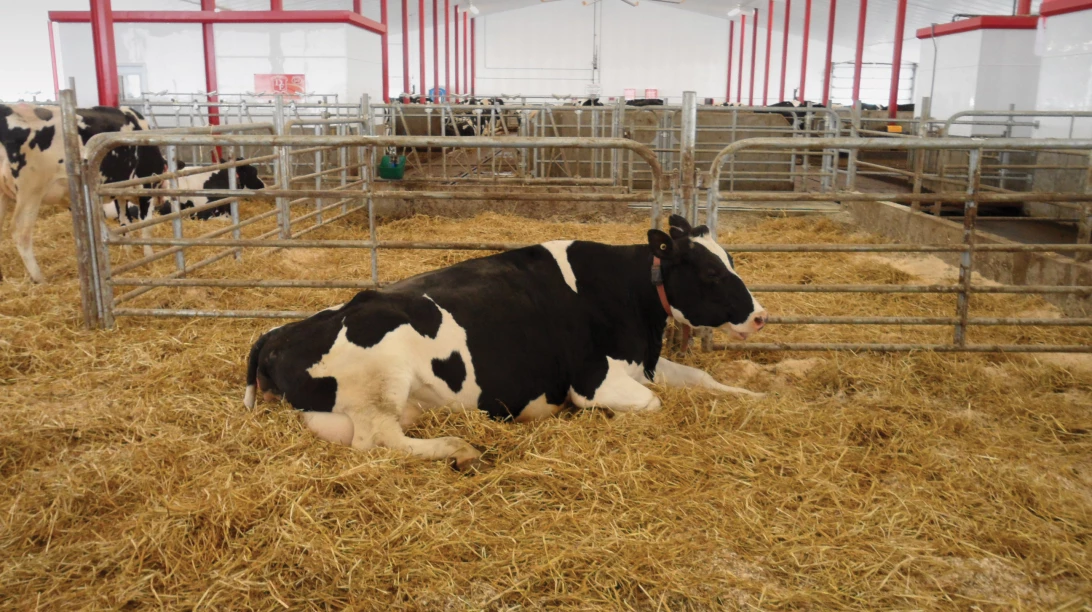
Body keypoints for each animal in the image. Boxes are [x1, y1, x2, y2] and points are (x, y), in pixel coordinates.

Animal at [0, 104, 166, 282]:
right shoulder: (146, 183)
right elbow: (146, 225)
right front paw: (149, 257)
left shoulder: (118, 191)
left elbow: (125, 223)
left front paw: (129, 255)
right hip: (31, 192)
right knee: (20, 232)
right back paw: (40, 278)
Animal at [243, 214, 767, 470]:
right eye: (711, 272)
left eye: (731, 259)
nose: (761, 316)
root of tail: (276, 334)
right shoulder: (592, 380)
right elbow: (652, 404)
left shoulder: (645, 362)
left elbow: (702, 377)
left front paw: (753, 394)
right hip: (380, 380)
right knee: (379, 441)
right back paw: (460, 450)